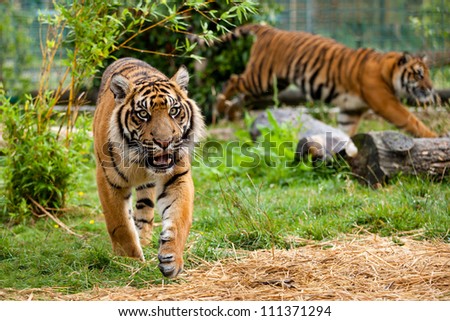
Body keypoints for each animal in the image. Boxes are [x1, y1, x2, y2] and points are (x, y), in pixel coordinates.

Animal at [94, 57, 205, 278]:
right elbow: (120, 224)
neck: (142, 161)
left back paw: (145, 239)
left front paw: (172, 259)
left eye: (174, 111)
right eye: (143, 114)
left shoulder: (177, 177)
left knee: (145, 210)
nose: (164, 142)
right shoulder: (107, 180)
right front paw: (129, 261)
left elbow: (179, 219)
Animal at [206, 22, 438, 138]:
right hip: (261, 78)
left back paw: (231, 113)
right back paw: (220, 106)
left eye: (428, 74)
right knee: (233, 80)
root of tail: (269, 29)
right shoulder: (386, 103)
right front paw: (433, 137)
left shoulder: (351, 111)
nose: (431, 89)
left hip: (271, 85)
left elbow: (345, 130)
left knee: (242, 97)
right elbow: (411, 120)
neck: (388, 71)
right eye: (419, 74)